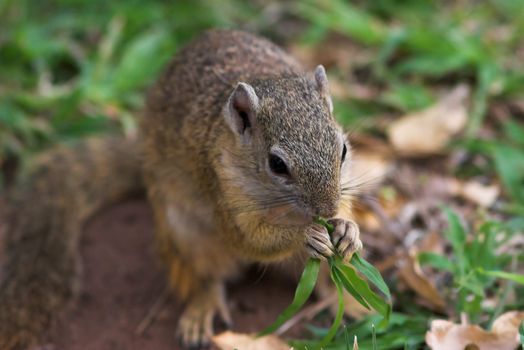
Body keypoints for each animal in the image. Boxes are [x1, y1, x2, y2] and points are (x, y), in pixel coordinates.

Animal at [0, 30, 360, 350]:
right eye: (277, 164)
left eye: (343, 149)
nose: (327, 211)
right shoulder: (221, 190)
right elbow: (249, 240)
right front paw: (305, 235)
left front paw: (346, 229)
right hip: (185, 233)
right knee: (205, 278)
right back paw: (201, 312)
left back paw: (350, 300)